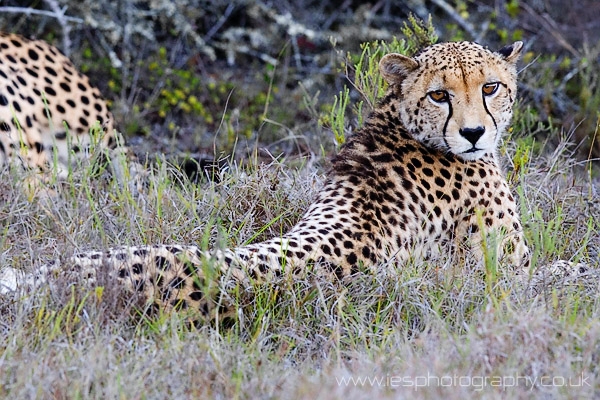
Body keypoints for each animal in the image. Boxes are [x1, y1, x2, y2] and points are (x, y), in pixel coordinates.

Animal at [2, 39, 556, 322]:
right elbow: (564, 274)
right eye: (440, 95)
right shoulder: (509, 275)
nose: (473, 133)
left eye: (490, 88)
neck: (401, 123)